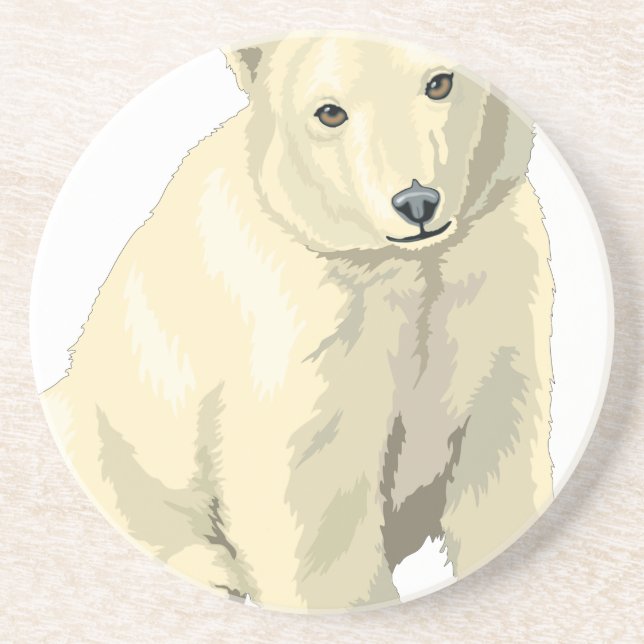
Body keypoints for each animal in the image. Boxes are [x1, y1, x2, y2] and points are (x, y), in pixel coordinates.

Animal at [41, 34, 554, 611]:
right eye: (329, 112)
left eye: (439, 82)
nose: (417, 201)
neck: (402, 263)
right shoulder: (306, 319)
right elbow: (314, 489)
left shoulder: (494, 279)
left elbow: (499, 450)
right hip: (112, 422)